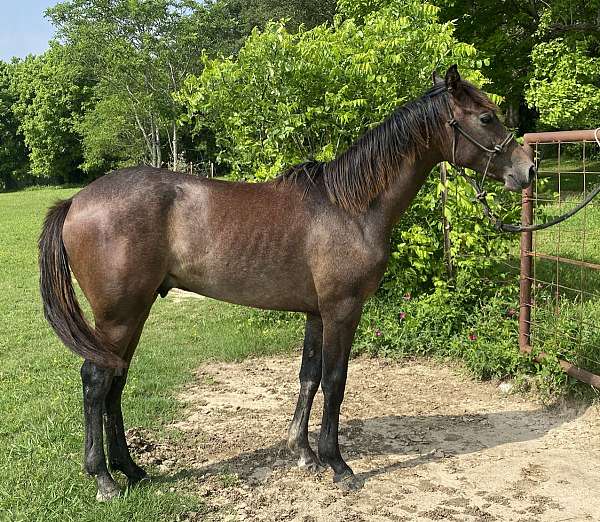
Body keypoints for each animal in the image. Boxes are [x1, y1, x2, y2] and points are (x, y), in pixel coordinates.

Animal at [38, 65, 536, 500]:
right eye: (487, 117)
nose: (528, 170)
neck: (350, 207)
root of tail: (75, 201)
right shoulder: (342, 310)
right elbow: (335, 381)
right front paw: (337, 464)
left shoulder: (316, 313)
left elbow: (309, 377)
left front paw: (304, 454)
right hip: (118, 316)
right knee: (96, 382)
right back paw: (104, 479)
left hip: (134, 314)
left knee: (115, 382)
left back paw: (132, 469)